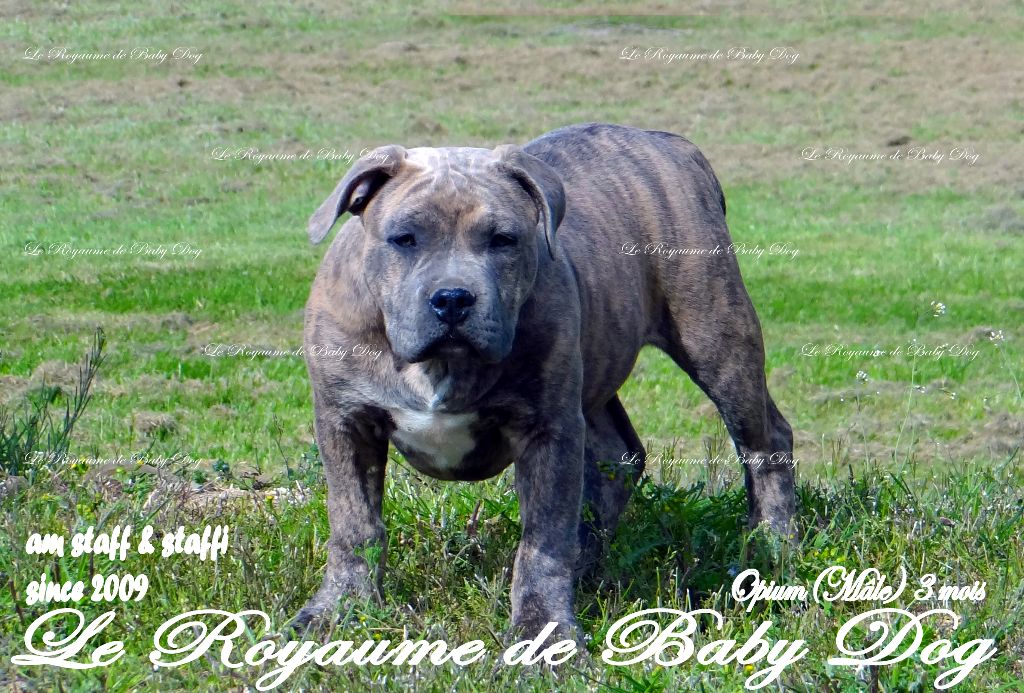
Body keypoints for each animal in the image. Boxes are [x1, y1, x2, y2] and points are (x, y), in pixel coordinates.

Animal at [298, 123, 795, 638]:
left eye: (503, 240)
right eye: (404, 239)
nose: (453, 298)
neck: (441, 364)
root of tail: (669, 141)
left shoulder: (548, 430)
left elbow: (543, 539)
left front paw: (544, 632)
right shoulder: (346, 423)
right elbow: (355, 523)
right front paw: (337, 610)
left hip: (717, 338)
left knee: (765, 442)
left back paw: (773, 549)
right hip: (596, 366)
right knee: (620, 457)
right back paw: (589, 564)